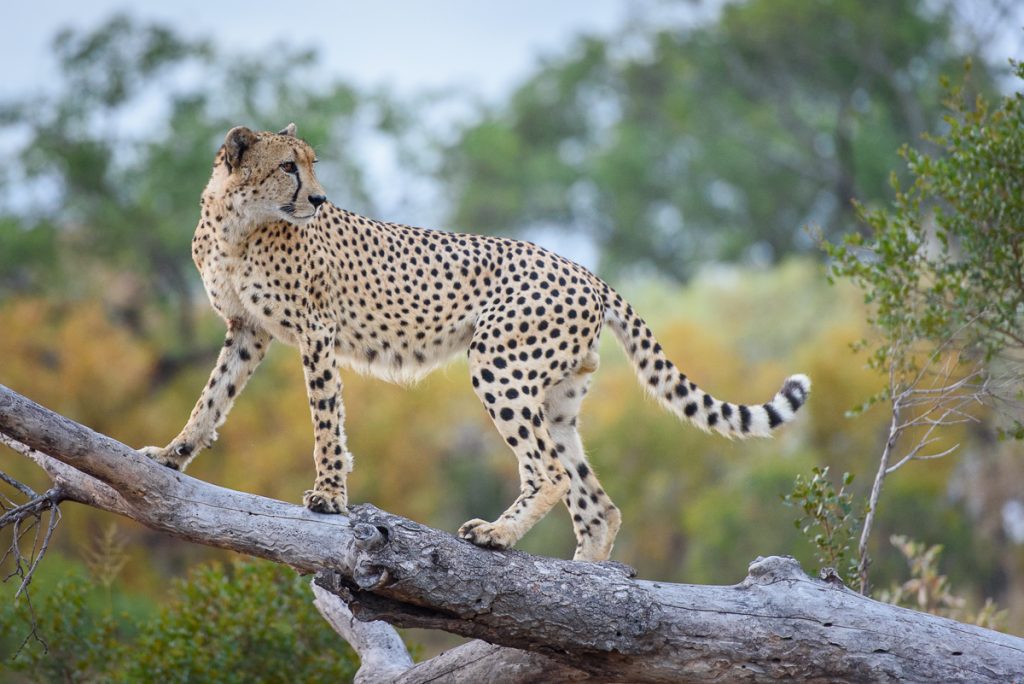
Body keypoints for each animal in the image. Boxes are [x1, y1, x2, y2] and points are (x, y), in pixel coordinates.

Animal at [138, 123, 811, 562]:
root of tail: (584, 269)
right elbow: (210, 400)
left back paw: (498, 535)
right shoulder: (247, 331)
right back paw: (583, 591)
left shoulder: (315, 330)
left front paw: (329, 495)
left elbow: (325, 419)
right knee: (596, 502)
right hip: (557, 396)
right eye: (288, 167)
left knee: (549, 472)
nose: (321, 198)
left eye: (311, 164)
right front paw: (171, 454)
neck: (237, 223)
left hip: (499, 364)